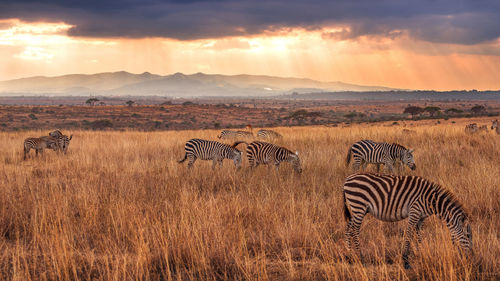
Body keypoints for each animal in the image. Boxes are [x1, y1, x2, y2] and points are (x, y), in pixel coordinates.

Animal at [342, 172, 474, 268]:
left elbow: (418, 236)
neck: (431, 200)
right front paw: (405, 261)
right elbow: (409, 235)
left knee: (348, 229)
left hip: (357, 209)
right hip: (358, 206)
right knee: (354, 230)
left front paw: (420, 255)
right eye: (468, 236)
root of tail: (347, 179)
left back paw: (350, 256)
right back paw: (361, 258)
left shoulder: (421, 218)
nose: (472, 258)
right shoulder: (414, 212)